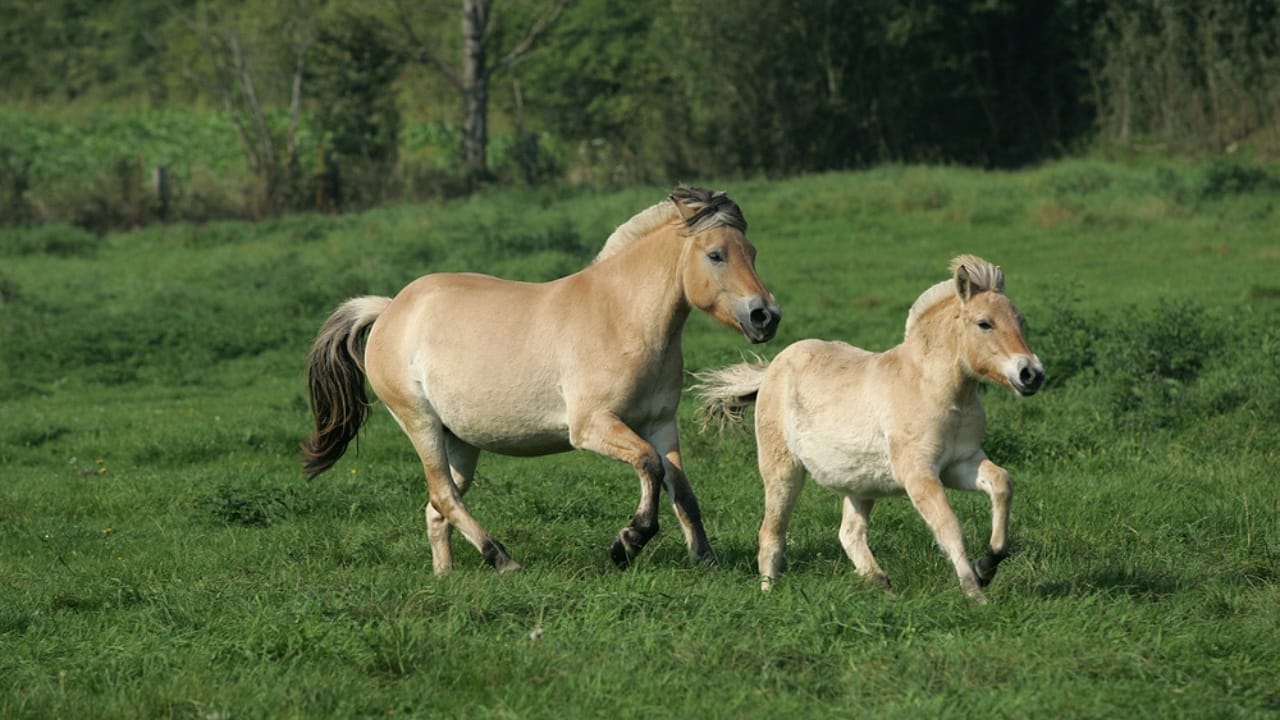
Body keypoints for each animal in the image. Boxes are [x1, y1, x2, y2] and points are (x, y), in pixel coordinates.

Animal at [302, 187, 781, 574]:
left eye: (754, 252)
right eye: (715, 254)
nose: (765, 317)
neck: (620, 316)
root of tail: (389, 309)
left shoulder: (660, 423)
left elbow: (681, 488)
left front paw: (705, 558)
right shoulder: (591, 426)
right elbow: (650, 465)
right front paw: (626, 543)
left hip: (460, 441)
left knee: (437, 508)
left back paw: (446, 577)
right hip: (420, 425)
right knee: (445, 497)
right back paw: (503, 560)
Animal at [693, 255, 1043, 602]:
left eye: (1021, 321)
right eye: (984, 323)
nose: (1031, 374)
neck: (932, 387)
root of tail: (770, 371)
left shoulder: (959, 464)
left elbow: (1002, 483)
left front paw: (988, 565)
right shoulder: (919, 473)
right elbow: (949, 525)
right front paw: (975, 592)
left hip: (859, 483)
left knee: (849, 534)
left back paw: (883, 585)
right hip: (782, 470)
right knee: (772, 532)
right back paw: (770, 592)